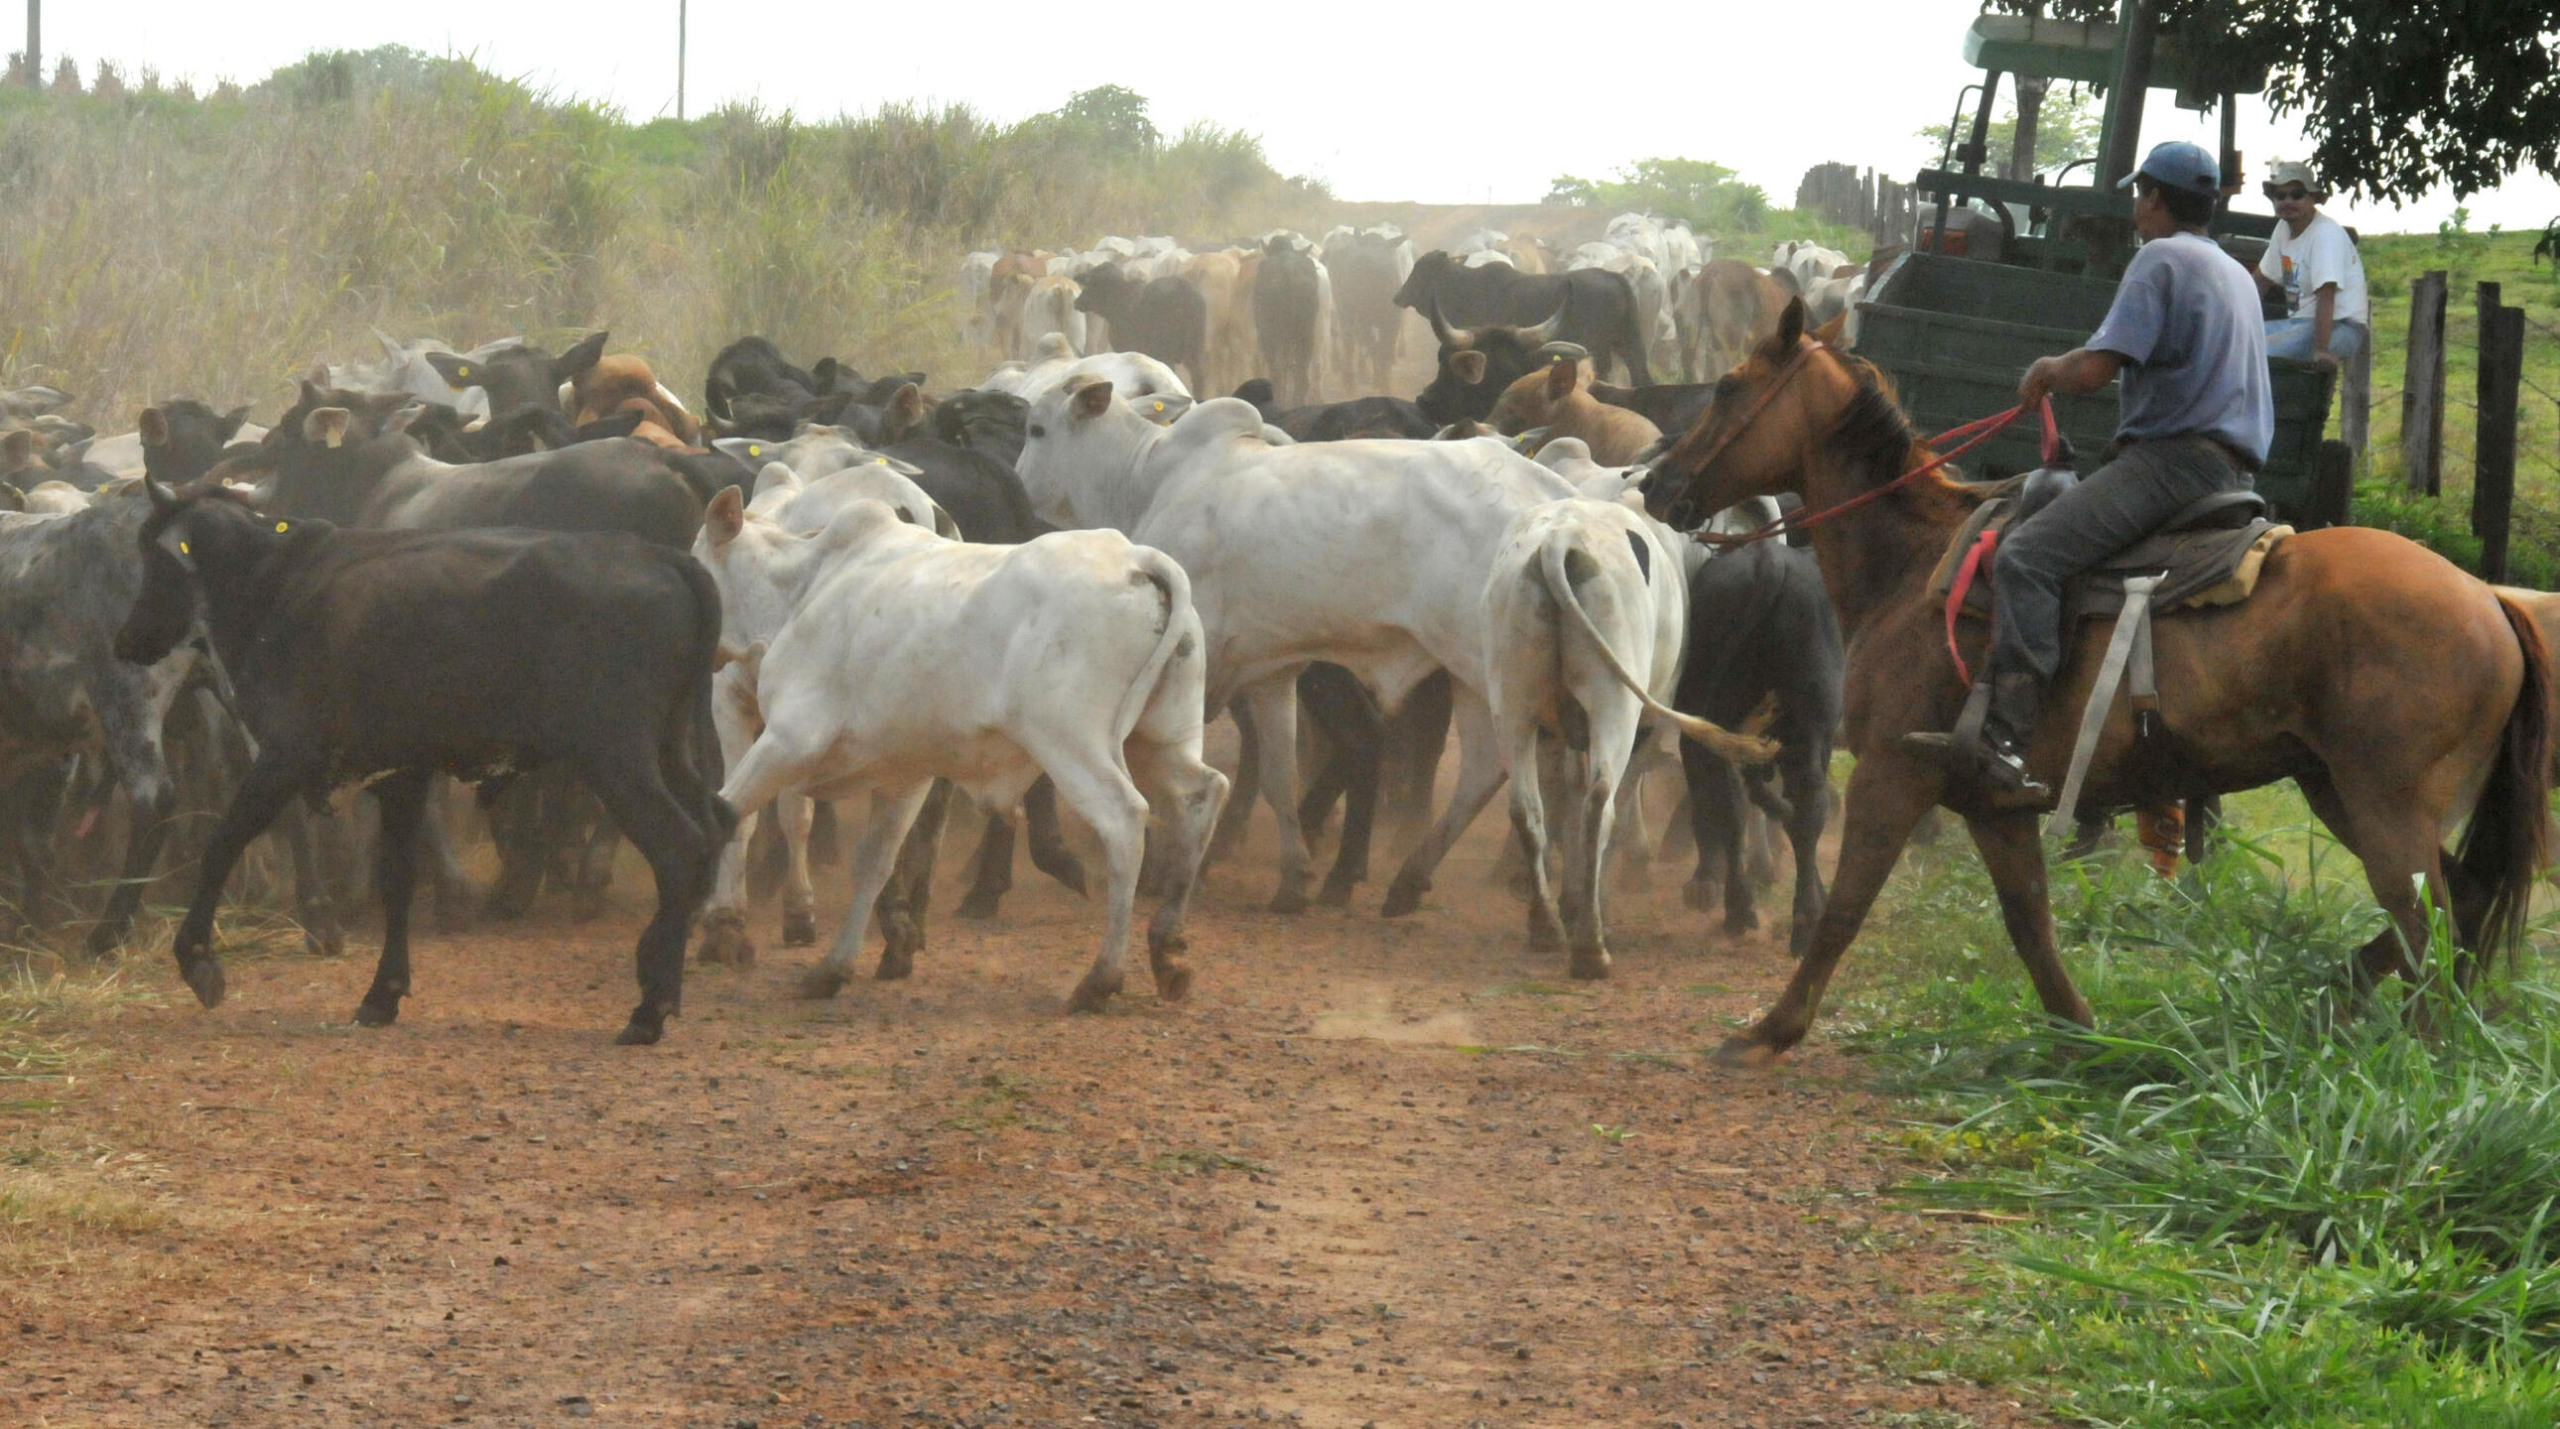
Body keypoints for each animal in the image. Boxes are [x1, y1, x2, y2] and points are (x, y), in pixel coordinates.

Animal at [116, 486, 737, 1049]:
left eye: (155, 559)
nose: (125, 641)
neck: (278, 582)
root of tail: (663, 556)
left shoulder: (286, 754)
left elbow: (223, 843)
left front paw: (197, 960)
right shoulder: (401, 775)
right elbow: (397, 878)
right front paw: (382, 993)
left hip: (617, 759)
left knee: (679, 846)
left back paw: (650, 1006)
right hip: (669, 749)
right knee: (716, 827)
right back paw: (662, 973)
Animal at [691, 499, 1228, 1014]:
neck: (800, 589)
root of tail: (1136, 558)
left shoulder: (789, 737)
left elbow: (730, 815)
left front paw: (721, 930)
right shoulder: (903, 774)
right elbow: (875, 863)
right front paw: (833, 967)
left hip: (1070, 742)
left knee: (1125, 820)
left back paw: (1101, 978)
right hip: (1159, 740)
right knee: (1202, 795)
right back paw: (1168, 951)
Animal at [1008, 384, 1771, 916]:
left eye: (1036, 428)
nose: (1018, 481)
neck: (1152, 475)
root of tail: (1563, 507)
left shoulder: (1200, 667)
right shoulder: (1271, 669)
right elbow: (1277, 772)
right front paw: (1293, 876)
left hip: (1491, 673)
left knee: (1509, 768)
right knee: (1498, 771)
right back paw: (1418, 878)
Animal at [1648, 297, 2549, 1070]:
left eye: (1728, 386)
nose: (1658, 484)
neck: (1913, 564)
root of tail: (2492, 601)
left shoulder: (1892, 773)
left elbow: (1843, 907)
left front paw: (1770, 1028)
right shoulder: (1995, 802)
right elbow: (2031, 926)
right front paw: (2086, 1038)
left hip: (2381, 801)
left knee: (2430, 919)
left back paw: (2415, 1044)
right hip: (2334, 786)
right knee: (2460, 899)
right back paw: (2340, 998)